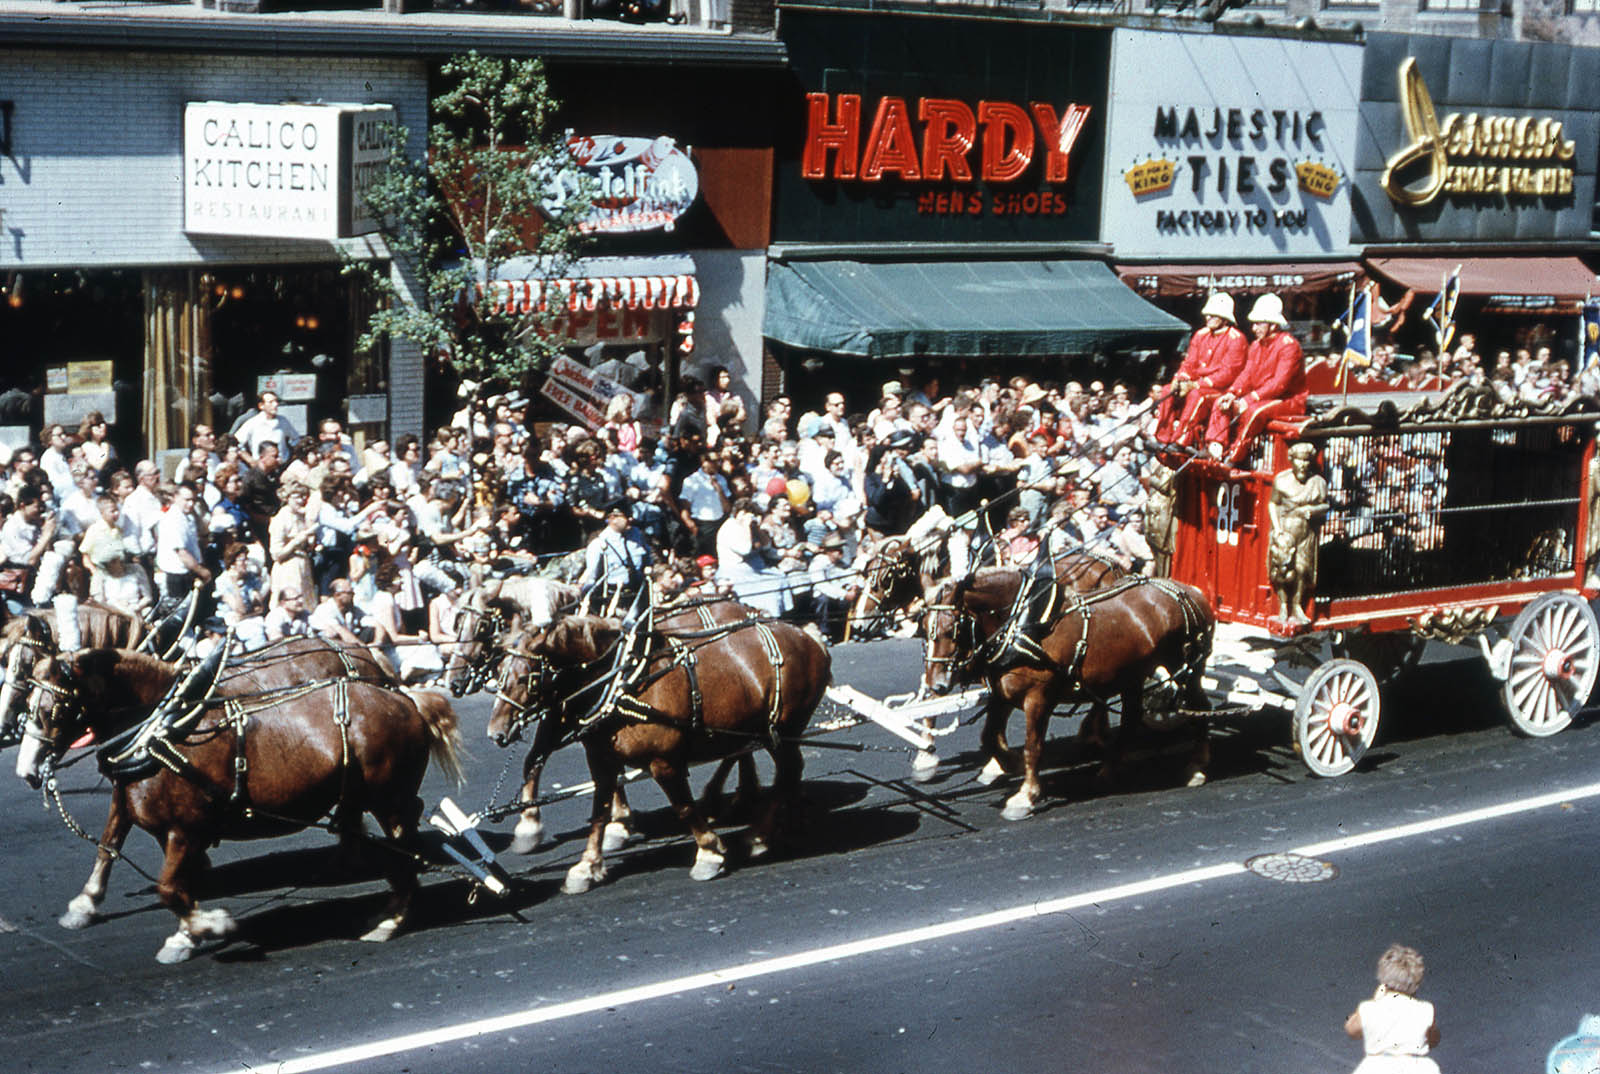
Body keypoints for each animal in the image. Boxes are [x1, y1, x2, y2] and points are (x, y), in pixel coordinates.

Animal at [15, 643, 460, 960]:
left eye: (52, 707)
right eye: (26, 706)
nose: (27, 770)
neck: (161, 729)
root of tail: (406, 699)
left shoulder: (186, 830)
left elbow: (169, 888)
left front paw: (205, 928)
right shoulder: (128, 803)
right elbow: (109, 848)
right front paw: (86, 904)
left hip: (388, 799)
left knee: (402, 846)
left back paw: (392, 917)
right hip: (362, 792)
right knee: (374, 830)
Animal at [483, 608, 832, 896]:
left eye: (524, 678)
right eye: (497, 673)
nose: (495, 732)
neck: (622, 683)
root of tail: (810, 637)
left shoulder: (663, 763)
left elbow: (684, 808)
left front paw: (709, 852)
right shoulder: (601, 760)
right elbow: (599, 812)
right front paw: (587, 867)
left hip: (782, 731)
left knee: (787, 771)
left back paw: (760, 834)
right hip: (759, 730)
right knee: (779, 769)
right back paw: (769, 821)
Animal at [928, 566, 1209, 819]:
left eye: (951, 630)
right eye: (926, 629)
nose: (936, 685)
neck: (1025, 625)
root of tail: (1193, 594)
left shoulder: (1038, 699)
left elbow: (1032, 747)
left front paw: (1026, 795)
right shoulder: (1001, 695)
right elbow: (989, 738)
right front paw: (1010, 765)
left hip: (1186, 669)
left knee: (1202, 707)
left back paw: (1197, 767)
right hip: (1133, 678)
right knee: (1131, 721)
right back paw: (1108, 771)